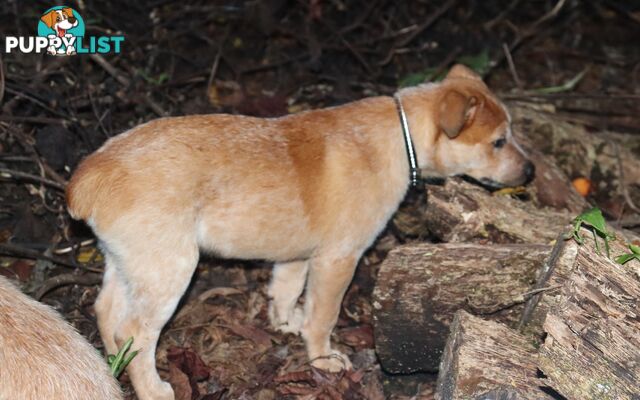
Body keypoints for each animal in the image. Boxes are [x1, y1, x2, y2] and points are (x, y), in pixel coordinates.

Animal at [67, 65, 532, 400]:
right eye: (498, 141)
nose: (531, 172)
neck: (399, 141)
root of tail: (89, 174)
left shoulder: (295, 255)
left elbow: (286, 291)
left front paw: (286, 323)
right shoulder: (339, 257)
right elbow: (323, 316)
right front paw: (322, 359)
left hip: (128, 264)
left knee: (107, 312)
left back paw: (113, 368)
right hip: (171, 269)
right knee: (134, 331)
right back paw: (153, 389)